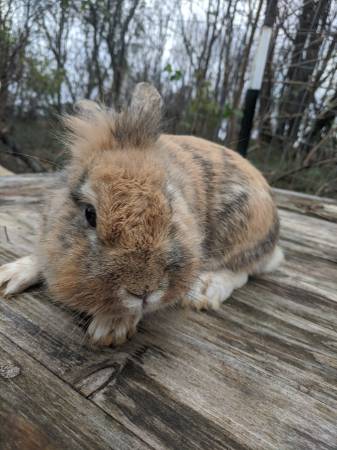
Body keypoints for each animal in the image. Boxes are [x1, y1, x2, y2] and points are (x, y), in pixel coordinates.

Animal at [0, 82, 284, 346]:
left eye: (170, 206)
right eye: (90, 214)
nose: (144, 289)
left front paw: (110, 326)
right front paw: (10, 276)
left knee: (244, 269)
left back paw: (205, 289)